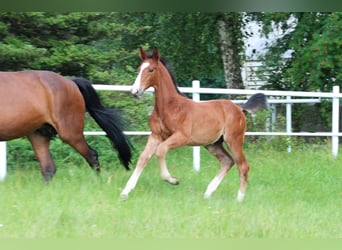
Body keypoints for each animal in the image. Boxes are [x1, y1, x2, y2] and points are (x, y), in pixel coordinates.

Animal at [0, 69, 132, 181]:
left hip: (70, 133)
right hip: (38, 134)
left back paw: (98, 182)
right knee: (48, 168)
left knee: (92, 155)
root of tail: (70, 82)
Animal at [120, 48, 268, 201]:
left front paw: (173, 180)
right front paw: (125, 191)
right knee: (227, 161)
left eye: (151, 69)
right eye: (139, 69)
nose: (135, 91)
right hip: (213, 144)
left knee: (243, 165)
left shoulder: (182, 137)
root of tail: (239, 107)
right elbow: (143, 158)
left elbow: (161, 150)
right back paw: (208, 193)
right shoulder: (156, 135)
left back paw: (239, 198)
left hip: (233, 140)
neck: (169, 107)